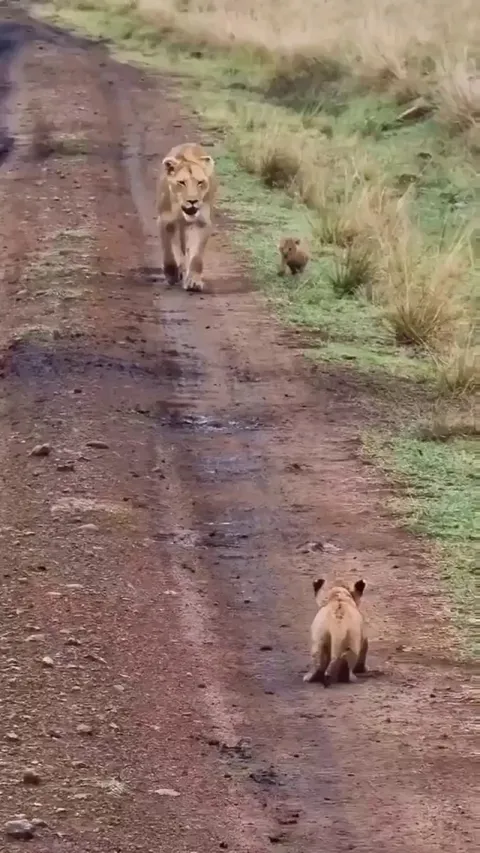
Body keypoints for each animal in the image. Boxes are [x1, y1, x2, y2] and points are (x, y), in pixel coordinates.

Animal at [156, 142, 217, 292]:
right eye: (181, 182)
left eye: (200, 182)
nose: (193, 201)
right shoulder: (165, 221)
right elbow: (169, 252)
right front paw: (171, 274)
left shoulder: (202, 223)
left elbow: (196, 257)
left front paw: (194, 281)